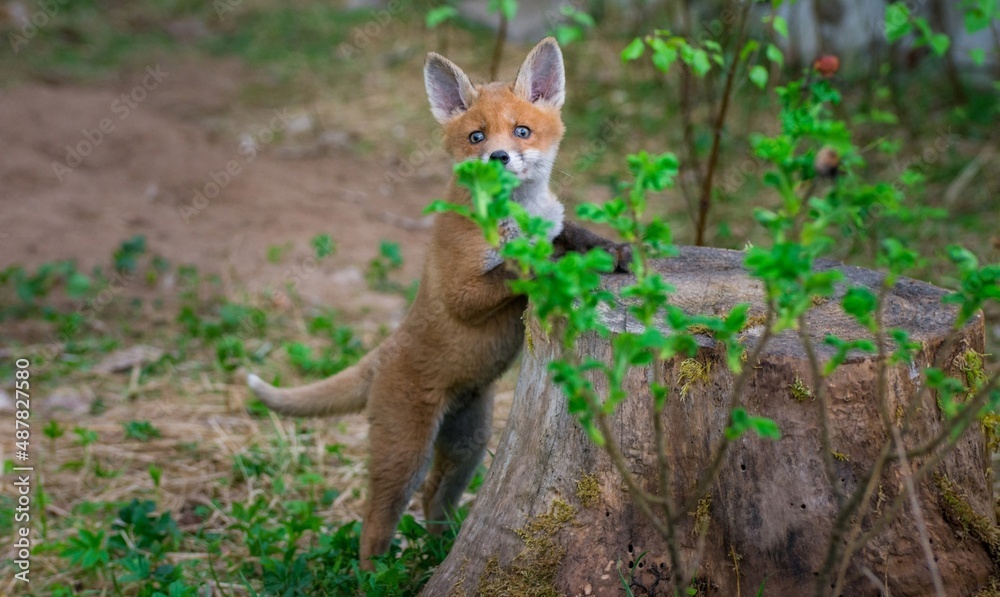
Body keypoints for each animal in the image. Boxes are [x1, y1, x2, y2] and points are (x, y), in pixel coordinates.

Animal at [247, 37, 631, 567]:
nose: (498, 157)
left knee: (434, 498)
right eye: (476, 137)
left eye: (522, 130)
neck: (518, 216)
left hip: (469, 441)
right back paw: (377, 574)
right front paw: (552, 266)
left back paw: (440, 551)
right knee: (376, 518)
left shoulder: (553, 225)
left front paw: (611, 250)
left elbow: (568, 234)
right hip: (406, 451)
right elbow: (515, 268)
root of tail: (381, 354)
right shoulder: (461, 290)